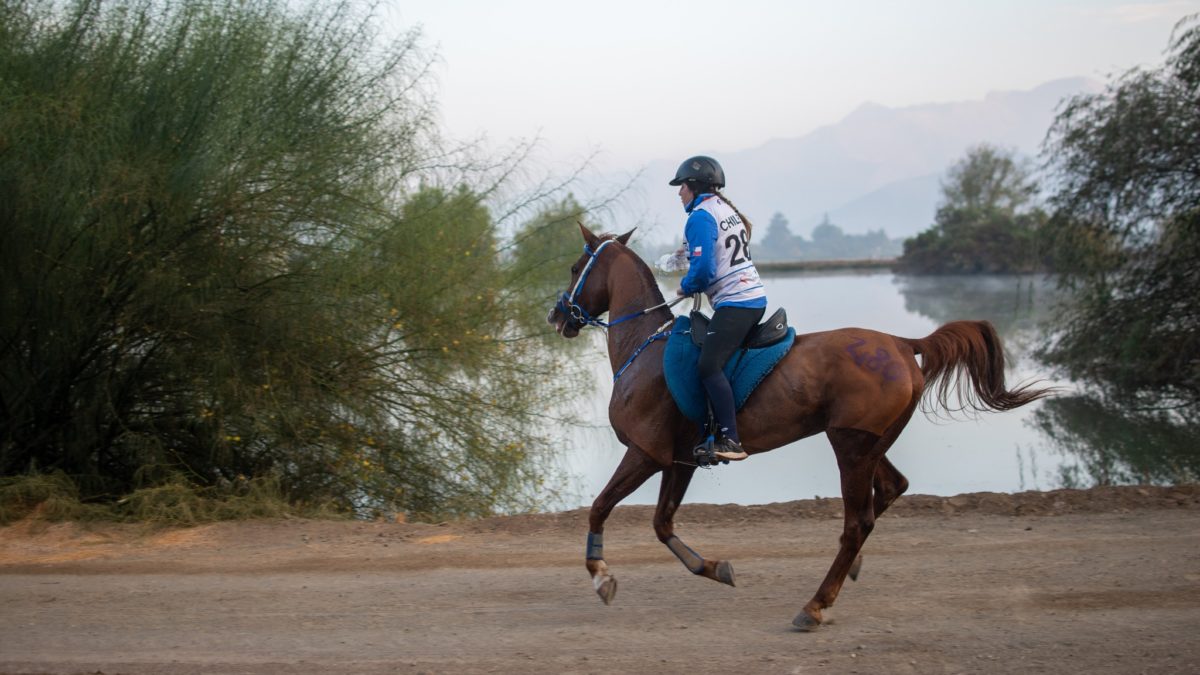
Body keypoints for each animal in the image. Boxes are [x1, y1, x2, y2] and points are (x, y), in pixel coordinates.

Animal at [547, 223, 1051, 629]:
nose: (557, 315)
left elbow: (600, 507)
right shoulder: (681, 461)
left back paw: (815, 605)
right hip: (870, 442)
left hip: (850, 447)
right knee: (892, 489)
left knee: (858, 522)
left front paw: (601, 577)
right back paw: (848, 571)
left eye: (574, 267)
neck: (645, 348)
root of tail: (902, 344)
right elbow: (661, 523)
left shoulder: (645, 454)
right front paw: (714, 568)